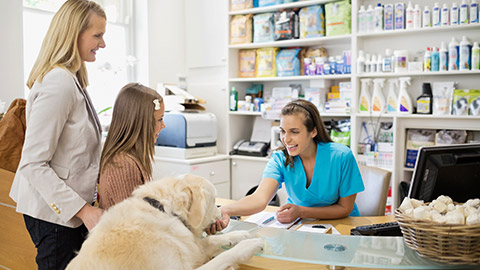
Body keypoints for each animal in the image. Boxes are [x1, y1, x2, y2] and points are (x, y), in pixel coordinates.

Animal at [66, 174, 264, 268]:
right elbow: (224, 256)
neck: (164, 210)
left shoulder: (190, 246)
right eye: (214, 199)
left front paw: (239, 235)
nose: (221, 212)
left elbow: (210, 240)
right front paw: (249, 245)